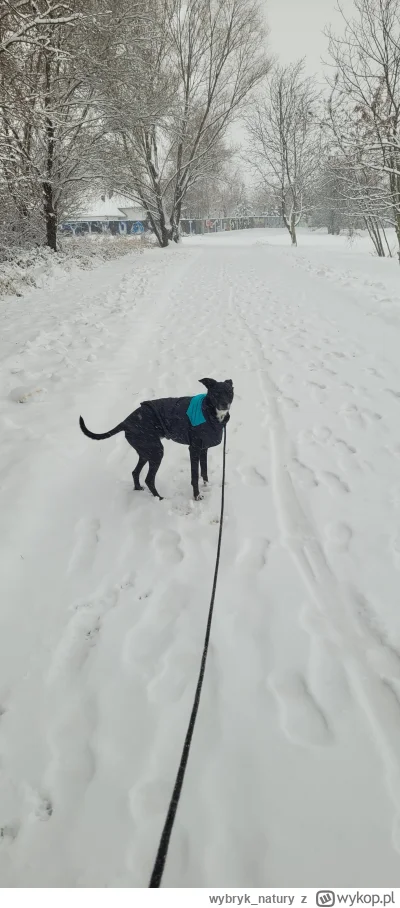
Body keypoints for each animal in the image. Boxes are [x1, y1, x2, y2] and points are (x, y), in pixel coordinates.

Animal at [79, 378, 233, 504]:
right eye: (216, 393)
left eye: (229, 392)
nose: (224, 404)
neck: (208, 410)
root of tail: (126, 422)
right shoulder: (194, 449)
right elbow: (195, 476)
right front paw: (197, 496)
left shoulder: (203, 448)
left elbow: (204, 470)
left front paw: (207, 486)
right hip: (156, 451)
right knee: (148, 479)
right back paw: (159, 498)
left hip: (146, 452)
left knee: (135, 472)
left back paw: (138, 488)